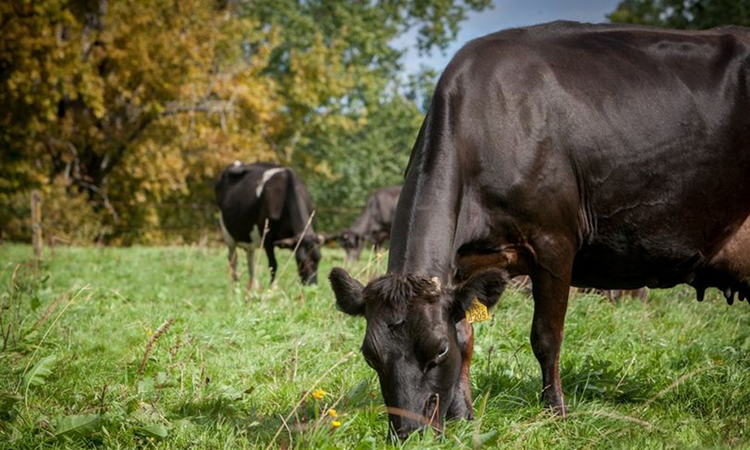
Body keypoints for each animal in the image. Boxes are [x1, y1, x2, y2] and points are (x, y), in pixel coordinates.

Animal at [332, 22, 750, 440]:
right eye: (370, 355)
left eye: (437, 350)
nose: (408, 433)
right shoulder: (464, 264)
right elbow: (467, 337)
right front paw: (464, 415)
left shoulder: (554, 242)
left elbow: (546, 336)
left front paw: (555, 411)